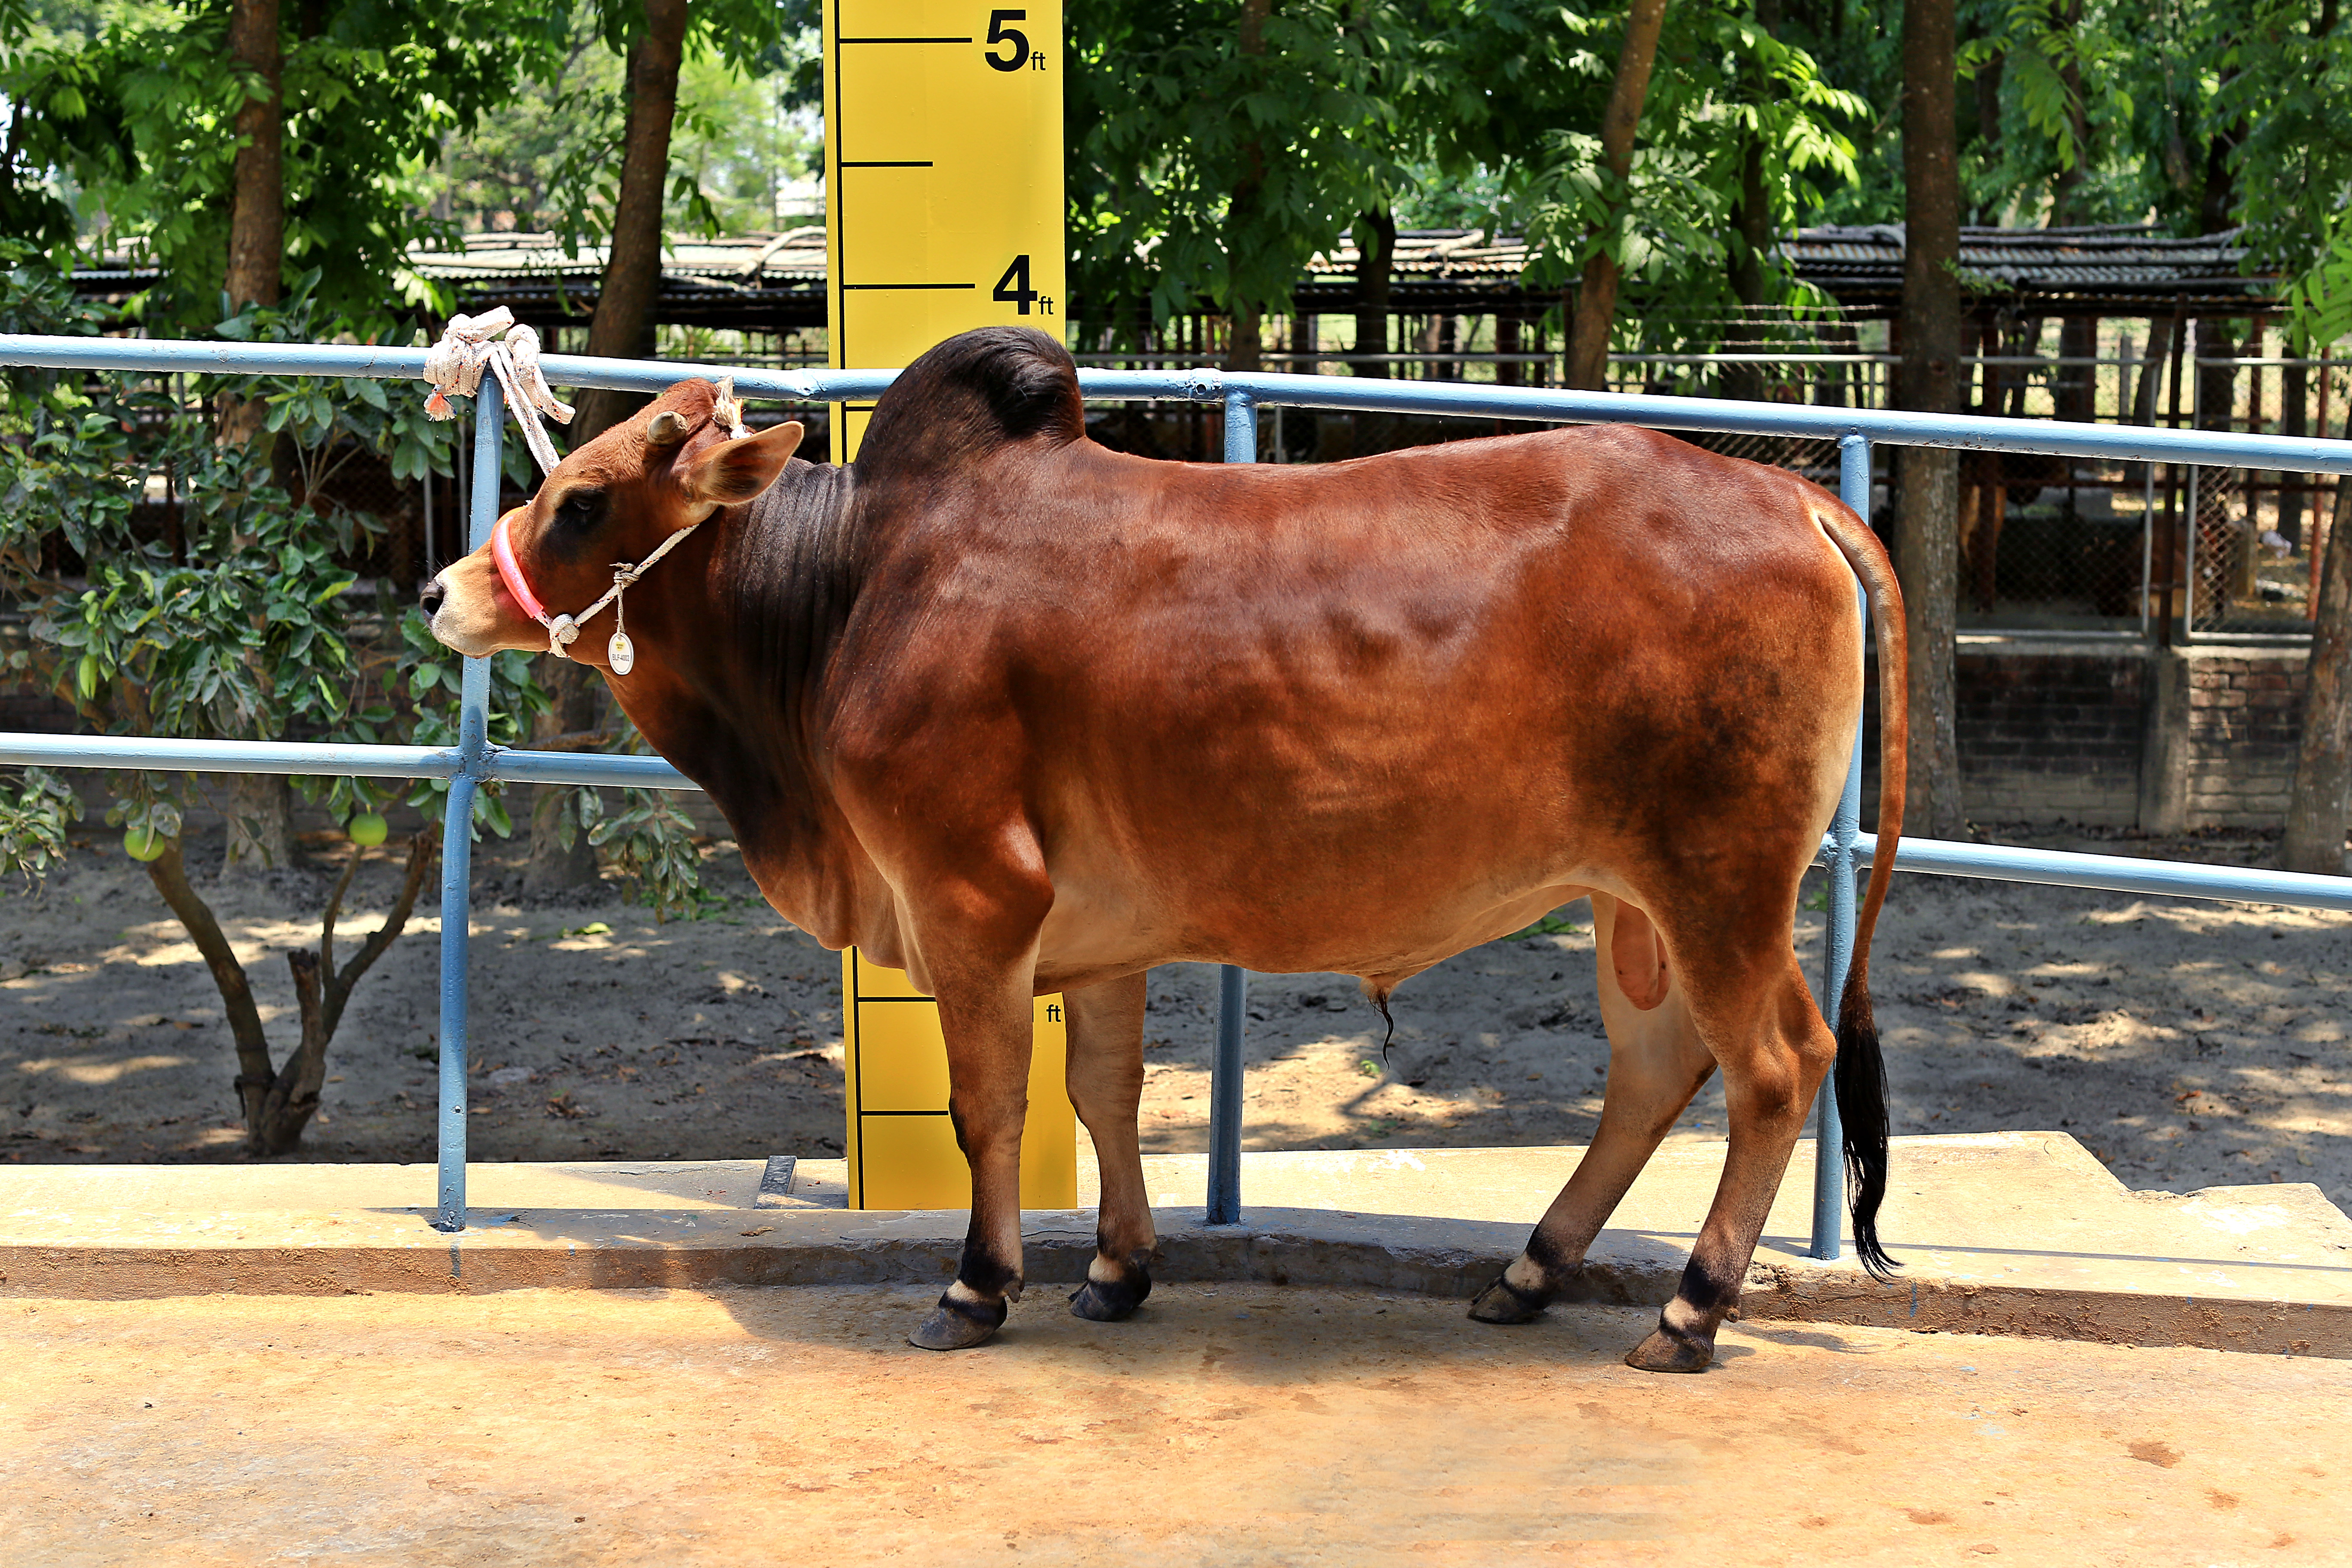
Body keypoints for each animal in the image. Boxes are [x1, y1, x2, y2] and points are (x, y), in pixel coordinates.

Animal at [422, 327, 1909, 1373]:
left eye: (582, 502)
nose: (443, 589)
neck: (848, 588)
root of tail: (1789, 501)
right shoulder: (1095, 935)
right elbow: (1104, 1095)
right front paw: (1118, 1270)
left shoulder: (971, 894)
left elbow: (990, 1106)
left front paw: (979, 1283)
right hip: (1626, 898)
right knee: (1656, 1069)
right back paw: (1534, 1271)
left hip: (1719, 881)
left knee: (1778, 1065)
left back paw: (1692, 1308)